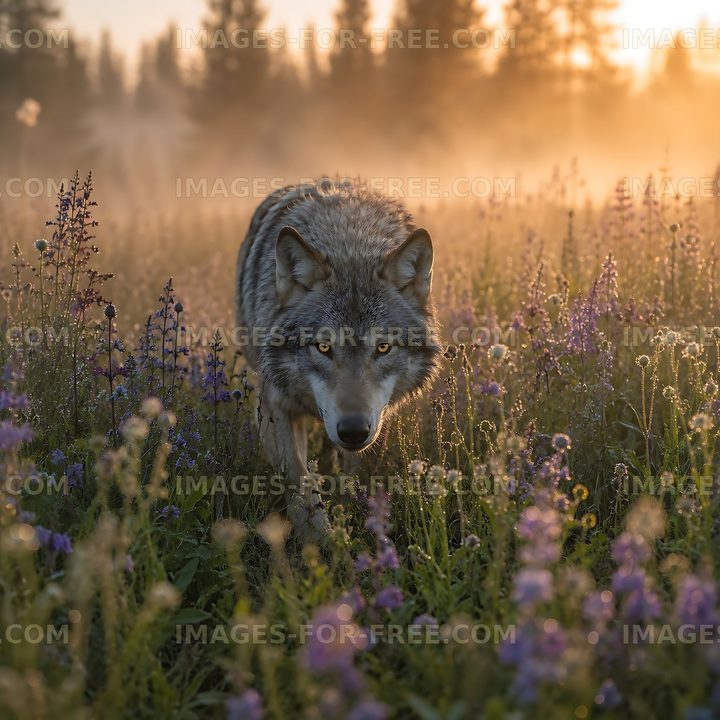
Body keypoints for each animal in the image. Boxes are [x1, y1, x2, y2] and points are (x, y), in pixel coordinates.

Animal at [236, 178, 441, 537]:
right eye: (323, 348)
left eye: (383, 348)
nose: (353, 430)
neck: (349, 242)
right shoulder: (275, 404)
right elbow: (297, 477)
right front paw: (320, 541)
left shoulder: (378, 417)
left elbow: (356, 472)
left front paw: (352, 514)